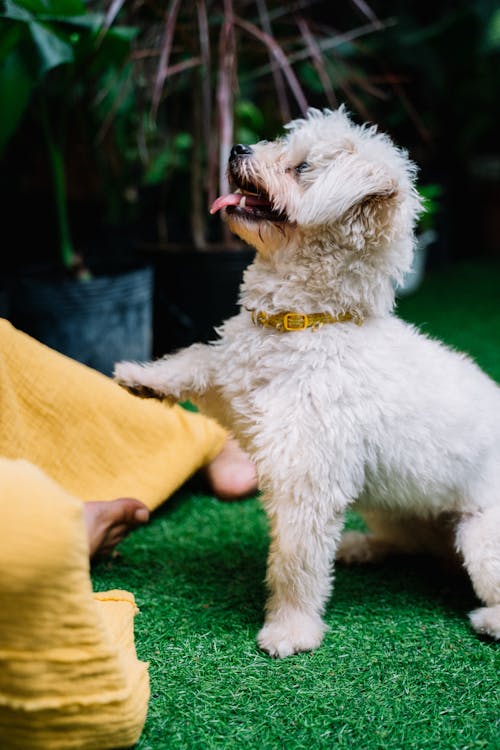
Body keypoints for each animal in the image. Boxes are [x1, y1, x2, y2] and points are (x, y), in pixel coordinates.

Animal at [115, 107, 500, 656]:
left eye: (300, 168)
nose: (237, 149)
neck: (305, 324)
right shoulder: (233, 381)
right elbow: (196, 359)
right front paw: (143, 378)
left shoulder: (306, 481)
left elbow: (295, 565)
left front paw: (290, 630)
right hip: (391, 505)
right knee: (408, 543)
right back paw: (362, 547)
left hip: (481, 538)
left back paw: (488, 619)